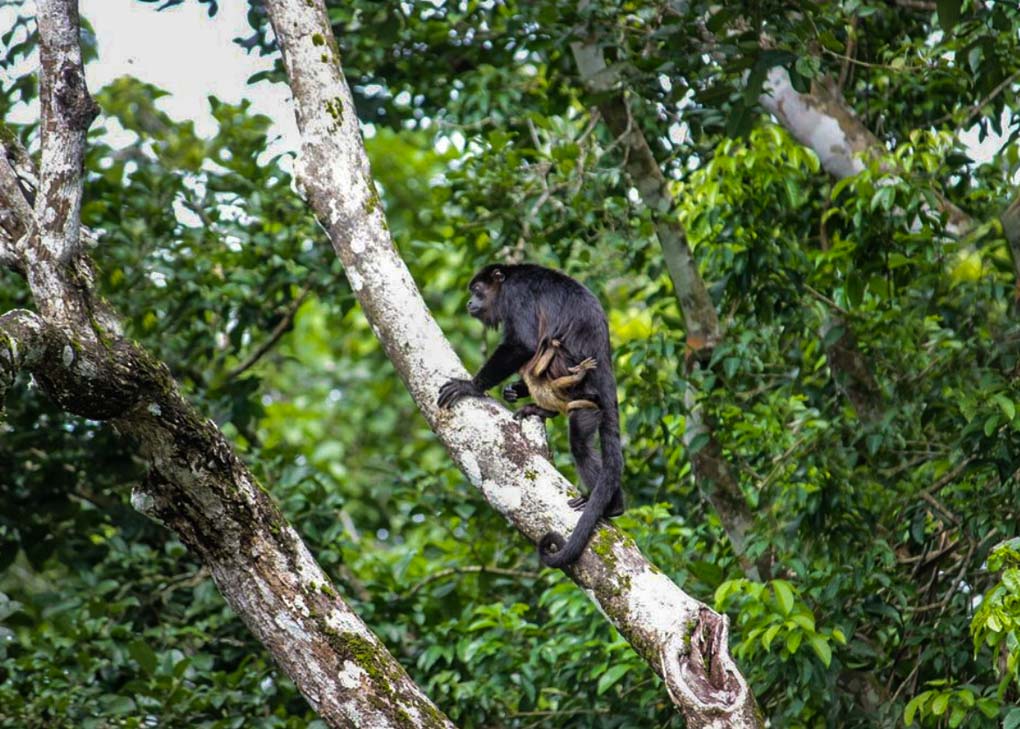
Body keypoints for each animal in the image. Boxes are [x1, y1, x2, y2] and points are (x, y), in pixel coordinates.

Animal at [437, 264, 624, 568]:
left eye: (477, 290)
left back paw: (611, 507)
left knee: (579, 441)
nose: (468, 302)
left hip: (583, 396)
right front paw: (513, 390)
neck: (506, 282)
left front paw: (471, 386)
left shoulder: (517, 297)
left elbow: (522, 344)